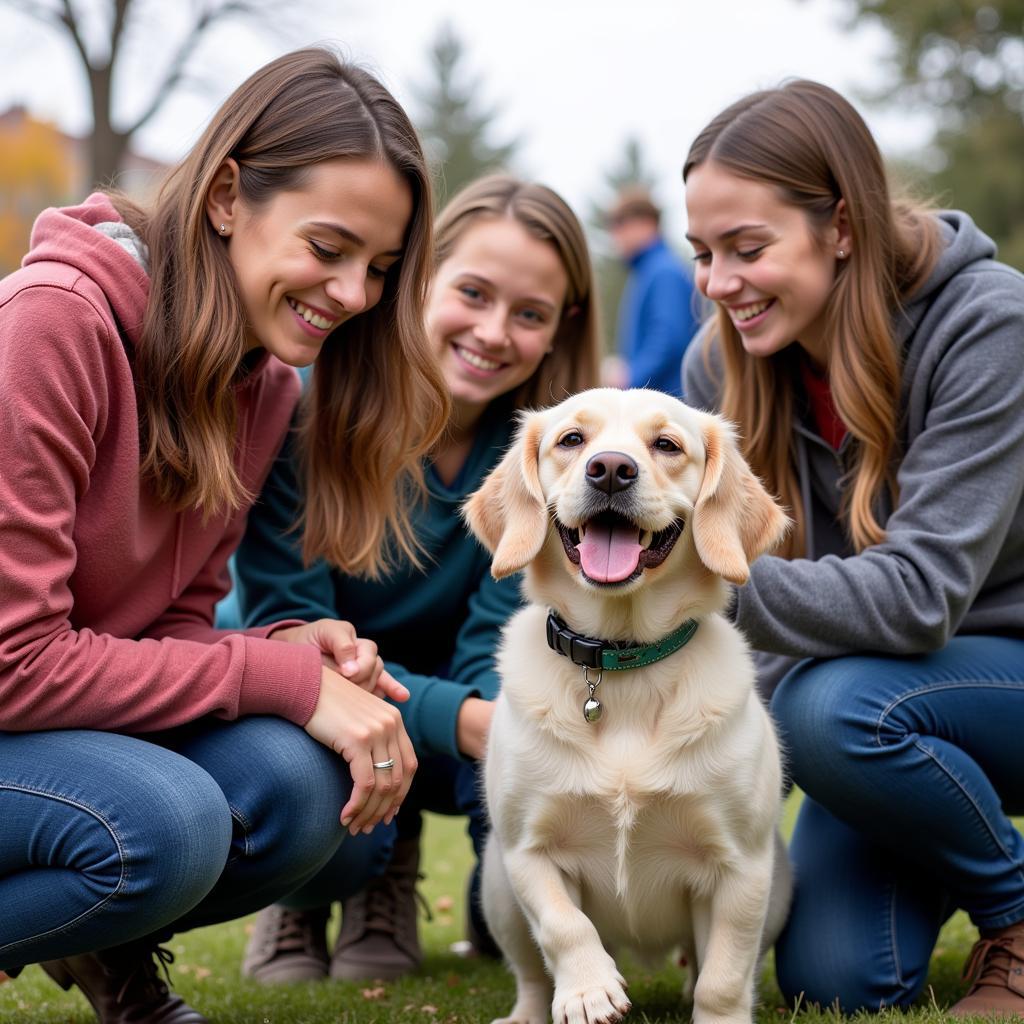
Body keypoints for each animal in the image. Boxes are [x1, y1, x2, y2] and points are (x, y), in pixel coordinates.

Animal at [464, 385, 790, 1024]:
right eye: (572, 439)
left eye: (666, 445)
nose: (611, 469)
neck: (622, 662)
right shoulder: (527, 851)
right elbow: (565, 927)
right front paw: (589, 991)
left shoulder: (742, 866)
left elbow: (724, 977)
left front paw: (718, 1014)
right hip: (496, 887)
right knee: (530, 973)